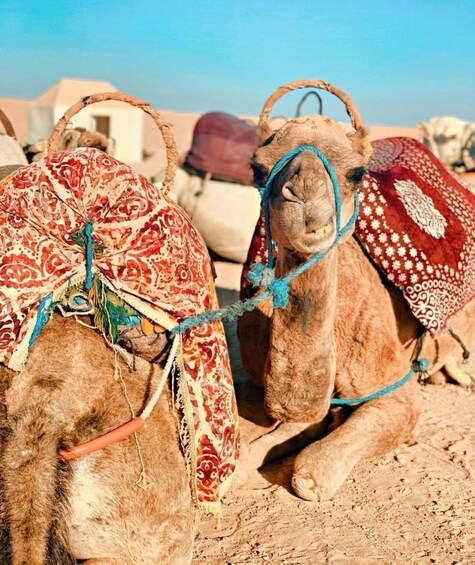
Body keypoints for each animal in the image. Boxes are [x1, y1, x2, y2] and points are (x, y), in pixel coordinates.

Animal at [236, 78, 474, 498]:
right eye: (258, 169)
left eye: (356, 174)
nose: (305, 196)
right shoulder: (255, 387)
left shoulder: (396, 391)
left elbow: (312, 472)